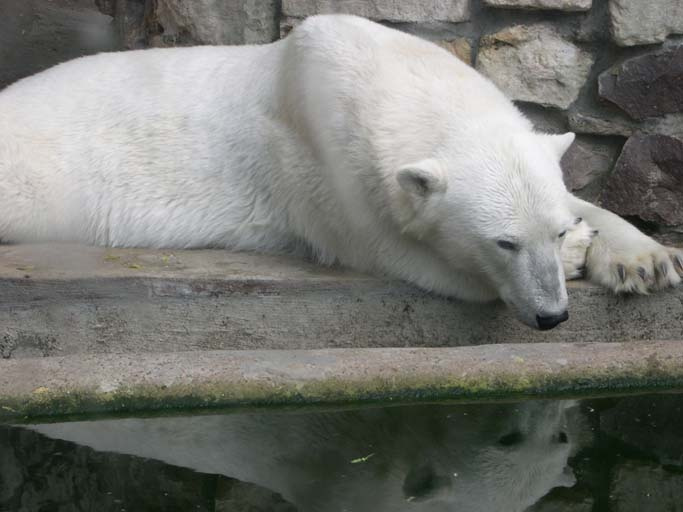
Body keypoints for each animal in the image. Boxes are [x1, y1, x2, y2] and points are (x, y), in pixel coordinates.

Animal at [0, 14, 681, 330]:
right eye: (502, 243)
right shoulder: (329, 171)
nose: (551, 317)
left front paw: (641, 259)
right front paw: (583, 258)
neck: (399, 75)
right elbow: (407, 254)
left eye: (554, 229)